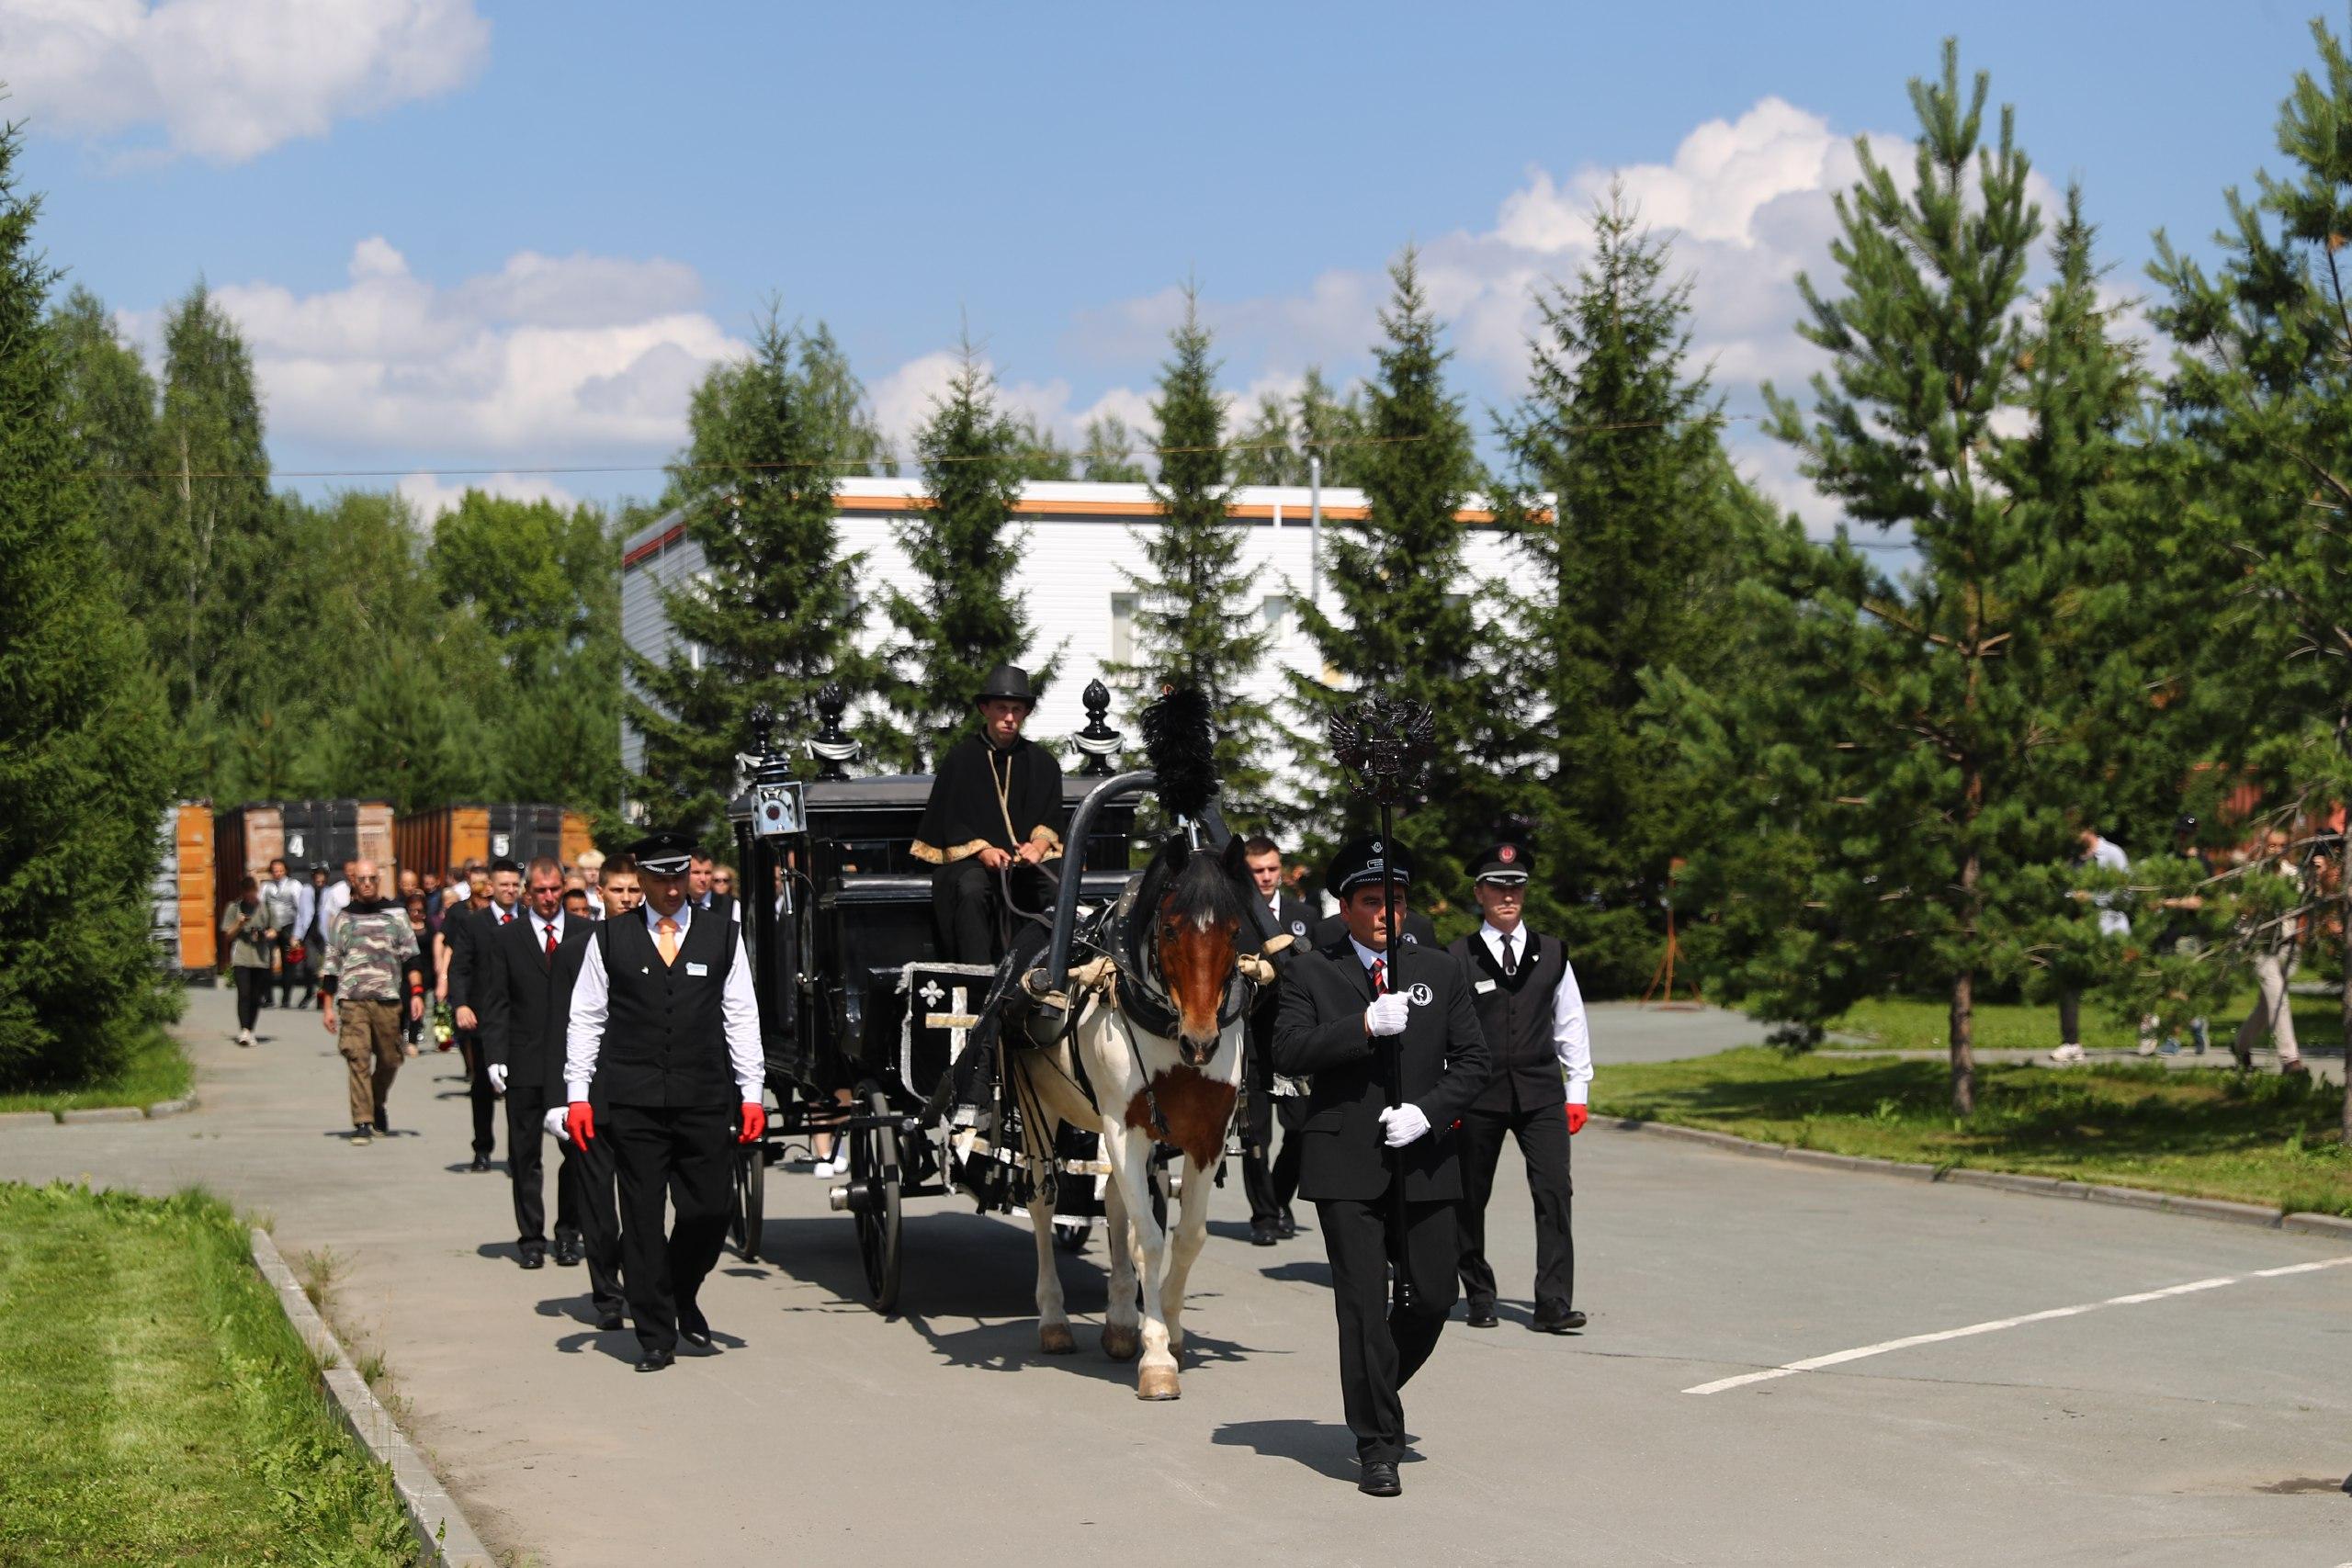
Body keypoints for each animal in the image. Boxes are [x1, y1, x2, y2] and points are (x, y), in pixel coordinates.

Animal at [1011, 841, 1270, 1401]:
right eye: (1169, 929)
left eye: (1234, 930)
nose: (1202, 1041)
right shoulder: (1123, 1127)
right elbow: (1150, 1239)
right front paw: (1157, 1359)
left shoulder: (1207, 1135)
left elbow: (1186, 1235)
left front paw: (1168, 1329)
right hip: (1040, 1107)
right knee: (1042, 1204)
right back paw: (1055, 1320)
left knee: (1113, 1200)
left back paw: (1121, 1322)